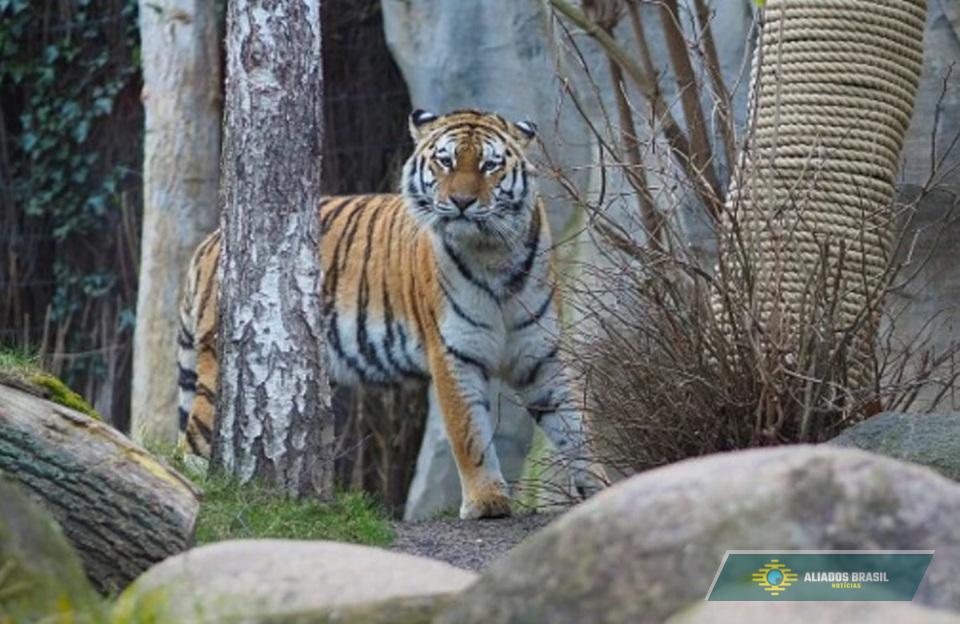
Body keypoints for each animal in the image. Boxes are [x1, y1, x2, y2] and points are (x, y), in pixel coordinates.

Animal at [177, 109, 608, 519]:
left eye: (489, 165)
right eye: (446, 162)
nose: (462, 202)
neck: (494, 253)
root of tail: (211, 241)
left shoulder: (541, 355)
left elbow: (576, 425)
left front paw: (600, 488)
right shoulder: (454, 352)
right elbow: (469, 433)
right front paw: (486, 501)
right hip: (217, 374)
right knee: (189, 444)